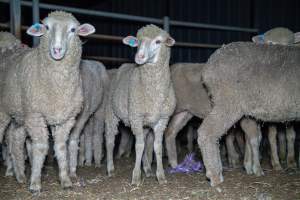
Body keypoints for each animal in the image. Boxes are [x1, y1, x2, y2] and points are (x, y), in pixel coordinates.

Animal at [0, 10, 95, 192]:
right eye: (47, 27)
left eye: (73, 30)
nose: (57, 50)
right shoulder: (36, 115)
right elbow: (41, 147)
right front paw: (35, 184)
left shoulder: (65, 118)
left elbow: (61, 147)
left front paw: (65, 180)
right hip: (7, 112)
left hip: (20, 115)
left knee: (15, 139)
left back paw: (20, 175)